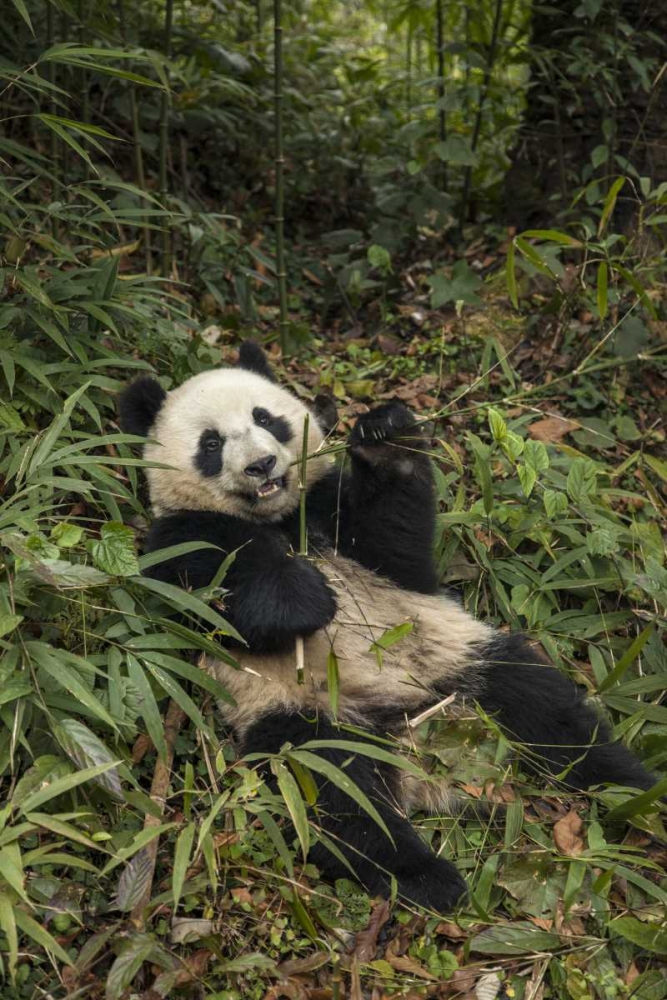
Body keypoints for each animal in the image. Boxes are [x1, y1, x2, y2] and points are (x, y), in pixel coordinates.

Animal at [119, 342, 657, 914]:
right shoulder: (175, 541)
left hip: (458, 660)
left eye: (265, 418)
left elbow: (396, 543)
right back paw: (428, 877)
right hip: (299, 714)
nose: (261, 464)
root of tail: (420, 747)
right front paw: (306, 598)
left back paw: (635, 792)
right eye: (212, 443)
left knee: (547, 712)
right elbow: (217, 592)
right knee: (337, 797)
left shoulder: (336, 512)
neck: (279, 518)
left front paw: (386, 438)